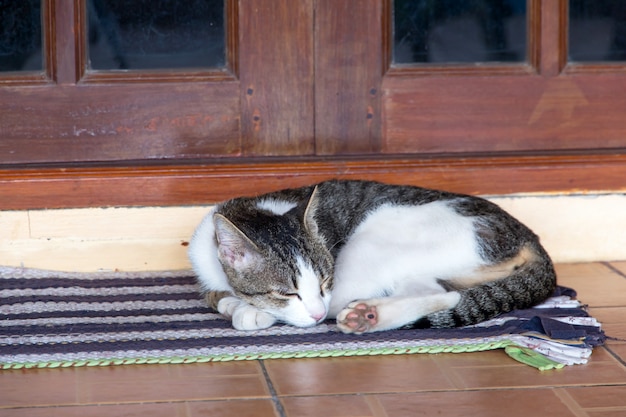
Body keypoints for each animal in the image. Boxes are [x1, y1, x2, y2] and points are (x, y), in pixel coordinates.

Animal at [188, 178, 552, 332]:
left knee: (444, 296)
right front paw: (232, 302)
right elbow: (216, 294)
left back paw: (363, 315)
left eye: (325, 282)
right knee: (440, 292)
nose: (317, 311)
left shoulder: (332, 291)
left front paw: (250, 311)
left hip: (372, 240)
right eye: (287, 292)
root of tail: (528, 234)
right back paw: (369, 315)